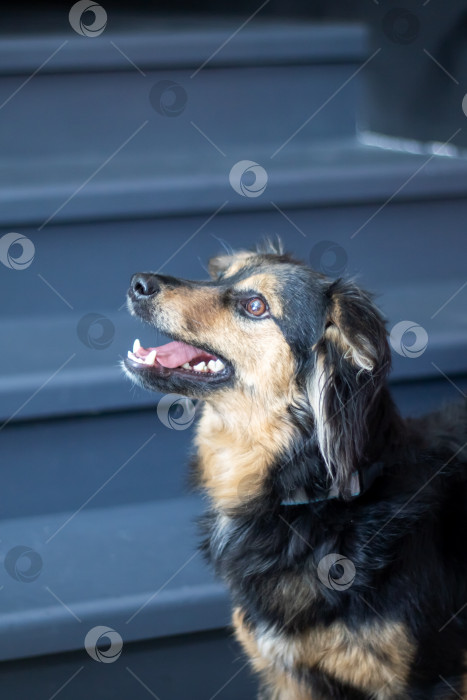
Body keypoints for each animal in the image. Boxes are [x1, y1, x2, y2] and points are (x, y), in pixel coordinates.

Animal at [122, 241, 466, 700]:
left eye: (255, 305)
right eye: (222, 277)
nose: (138, 283)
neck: (313, 498)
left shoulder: (427, 679)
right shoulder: (288, 674)